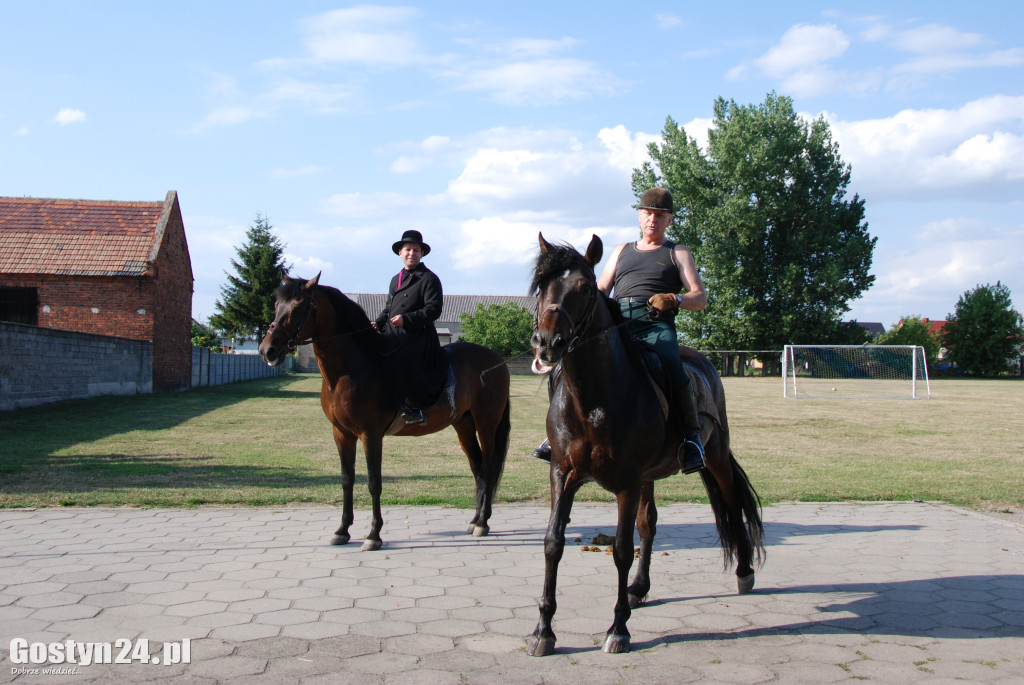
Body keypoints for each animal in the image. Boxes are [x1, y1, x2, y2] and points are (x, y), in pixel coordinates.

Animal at [258, 272, 509, 548]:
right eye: (276, 305)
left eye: (299, 307)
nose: (267, 350)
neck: (352, 369)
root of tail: (497, 360)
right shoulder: (342, 434)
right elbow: (347, 480)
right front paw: (342, 530)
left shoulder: (370, 434)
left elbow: (373, 483)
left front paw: (373, 535)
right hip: (463, 425)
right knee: (478, 469)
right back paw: (475, 520)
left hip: (486, 424)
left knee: (488, 466)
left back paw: (483, 523)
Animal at [528, 232, 761, 655]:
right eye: (542, 287)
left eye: (585, 288)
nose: (546, 343)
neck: (594, 400)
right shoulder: (563, 473)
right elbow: (553, 543)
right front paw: (543, 630)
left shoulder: (628, 481)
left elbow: (621, 549)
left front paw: (618, 629)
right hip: (650, 477)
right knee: (649, 524)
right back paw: (639, 587)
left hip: (714, 457)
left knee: (732, 503)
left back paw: (744, 571)